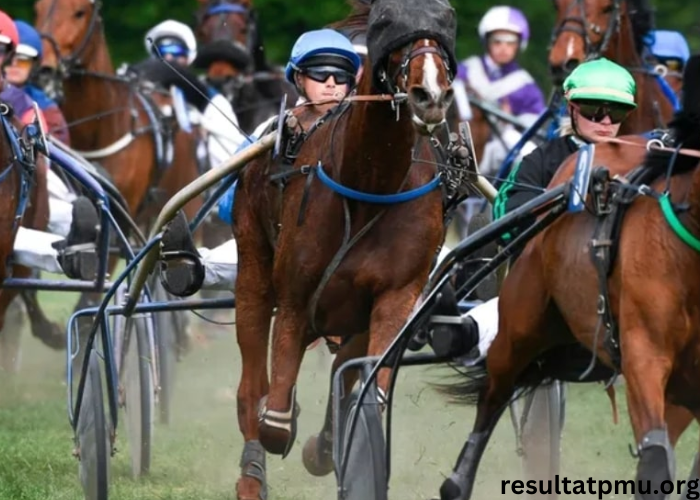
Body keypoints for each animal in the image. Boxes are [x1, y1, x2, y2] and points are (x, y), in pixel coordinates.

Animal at [231, 0, 460, 496]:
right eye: (387, 22)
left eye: (444, 22)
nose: (431, 94)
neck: (370, 183)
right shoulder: (297, 297)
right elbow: (275, 417)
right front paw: (283, 425)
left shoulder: (395, 296)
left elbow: (367, 389)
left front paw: (334, 448)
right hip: (252, 267)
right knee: (252, 377)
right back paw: (252, 472)